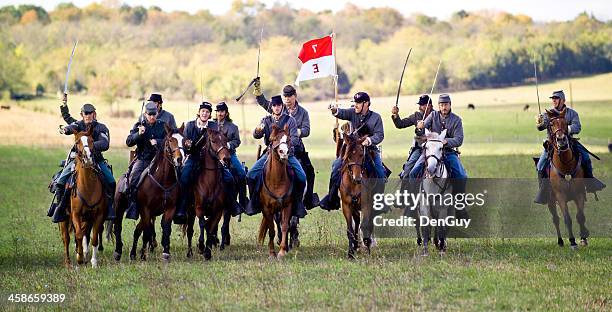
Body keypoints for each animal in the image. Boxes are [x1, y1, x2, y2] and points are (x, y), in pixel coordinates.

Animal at [59, 127, 107, 268]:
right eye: (77, 142)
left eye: (91, 140)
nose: (88, 158)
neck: (88, 187)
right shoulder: (75, 214)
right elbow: (79, 235)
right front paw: (79, 258)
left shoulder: (98, 215)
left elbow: (94, 238)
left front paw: (93, 262)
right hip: (64, 218)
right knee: (66, 238)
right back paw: (69, 262)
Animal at [184, 127, 232, 260]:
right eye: (213, 141)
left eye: (226, 140)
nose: (226, 159)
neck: (209, 183)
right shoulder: (199, 208)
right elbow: (202, 224)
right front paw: (201, 246)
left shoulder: (218, 211)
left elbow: (210, 228)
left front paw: (208, 252)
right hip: (190, 211)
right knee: (190, 231)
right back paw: (189, 252)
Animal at [256, 123, 296, 258]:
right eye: (274, 139)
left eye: (288, 139)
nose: (284, 152)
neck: (277, 181)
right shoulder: (267, 208)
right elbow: (271, 230)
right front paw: (272, 253)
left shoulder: (287, 206)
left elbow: (284, 226)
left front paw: (282, 251)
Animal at [544, 108, 588, 250]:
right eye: (551, 124)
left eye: (565, 123)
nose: (561, 140)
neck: (566, 167)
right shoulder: (560, 196)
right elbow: (567, 218)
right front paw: (572, 242)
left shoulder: (579, 193)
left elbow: (580, 216)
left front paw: (583, 238)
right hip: (551, 201)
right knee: (556, 219)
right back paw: (560, 241)